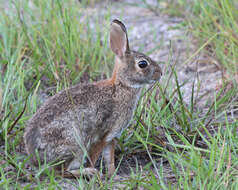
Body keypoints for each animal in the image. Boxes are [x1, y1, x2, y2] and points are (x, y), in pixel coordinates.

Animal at [23, 18, 162, 177]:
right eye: (142, 64)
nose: (161, 73)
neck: (121, 86)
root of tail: (35, 159)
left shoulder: (111, 137)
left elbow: (109, 159)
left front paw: (113, 175)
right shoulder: (102, 135)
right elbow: (94, 156)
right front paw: (100, 174)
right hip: (74, 144)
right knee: (62, 171)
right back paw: (90, 172)